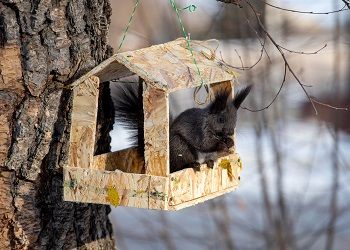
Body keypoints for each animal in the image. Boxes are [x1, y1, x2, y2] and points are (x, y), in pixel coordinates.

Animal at [112, 81, 252, 173]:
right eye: (221, 119)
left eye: (235, 120)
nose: (230, 132)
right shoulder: (199, 132)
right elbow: (205, 145)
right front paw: (222, 144)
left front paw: (230, 142)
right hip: (180, 147)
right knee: (181, 165)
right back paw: (192, 164)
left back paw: (209, 162)